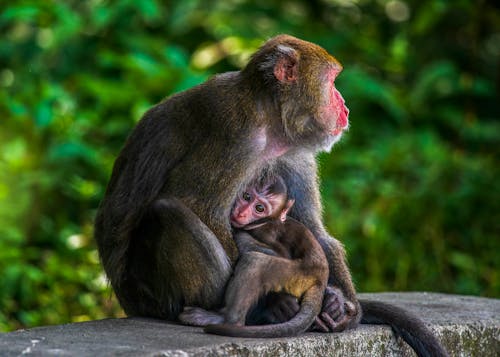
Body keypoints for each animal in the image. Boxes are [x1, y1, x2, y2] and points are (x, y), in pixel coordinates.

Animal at [180, 175, 328, 336]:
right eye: (246, 196)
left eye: (259, 208)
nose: (242, 213)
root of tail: (321, 279)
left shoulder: (266, 229)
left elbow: (279, 252)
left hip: (298, 275)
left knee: (253, 262)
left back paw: (226, 320)